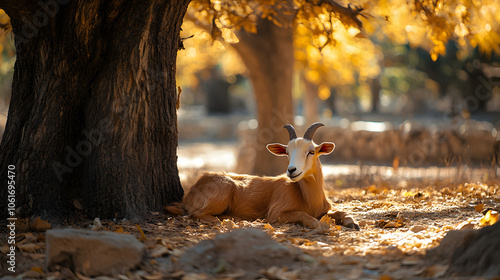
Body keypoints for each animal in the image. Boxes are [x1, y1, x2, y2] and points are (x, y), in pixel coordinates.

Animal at [168, 122, 360, 230]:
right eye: (287, 152)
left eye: (311, 151)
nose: (292, 170)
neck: (310, 198)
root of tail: (192, 191)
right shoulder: (276, 214)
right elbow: (304, 216)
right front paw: (321, 226)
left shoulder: (323, 210)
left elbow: (341, 211)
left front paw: (353, 223)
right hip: (223, 191)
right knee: (194, 214)